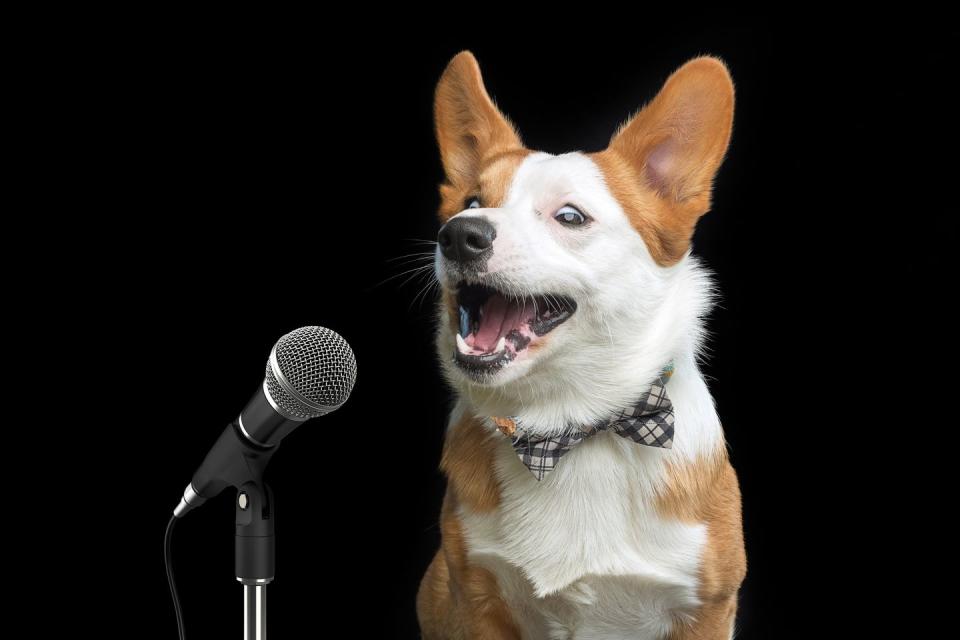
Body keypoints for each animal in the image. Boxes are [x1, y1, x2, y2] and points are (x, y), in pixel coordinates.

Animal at [416, 51, 748, 640]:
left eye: (570, 216)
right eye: (469, 202)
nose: (458, 234)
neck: (569, 425)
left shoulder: (705, 607)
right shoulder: (475, 594)